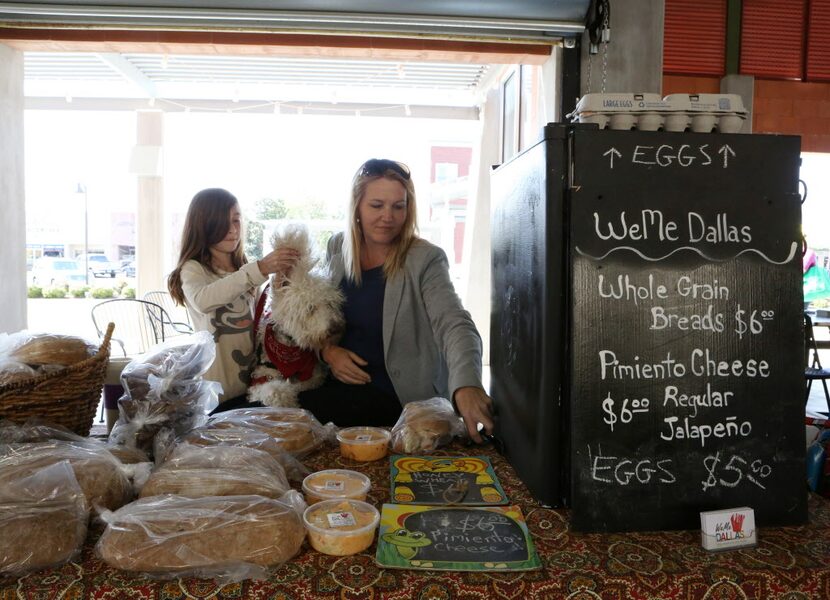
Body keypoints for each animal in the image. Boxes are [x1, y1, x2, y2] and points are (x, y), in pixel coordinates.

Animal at [252, 225, 346, 408]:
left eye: (330, 303)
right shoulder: (261, 376)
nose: (337, 328)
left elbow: (301, 385)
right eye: (310, 308)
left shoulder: (313, 374)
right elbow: (275, 391)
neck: (289, 348)